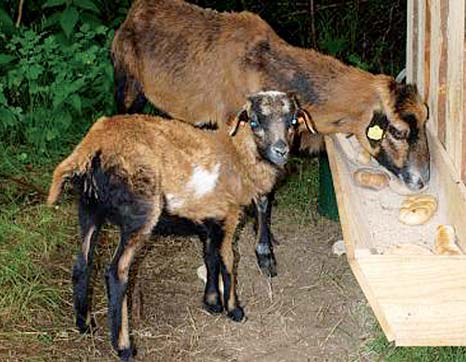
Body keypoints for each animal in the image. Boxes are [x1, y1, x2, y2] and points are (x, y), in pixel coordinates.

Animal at [46, 90, 314, 360]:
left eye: (293, 121)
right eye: (255, 122)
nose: (280, 150)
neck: (239, 153)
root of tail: (93, 146)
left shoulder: (210, 219)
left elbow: (210, 257)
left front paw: (212, 303)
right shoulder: (229, 215)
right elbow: (228, 260)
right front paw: (234, 310)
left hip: (89, 209)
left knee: (82, 263)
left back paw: (85, 324)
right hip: (140, 212)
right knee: (115, 272)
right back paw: (124, 347)